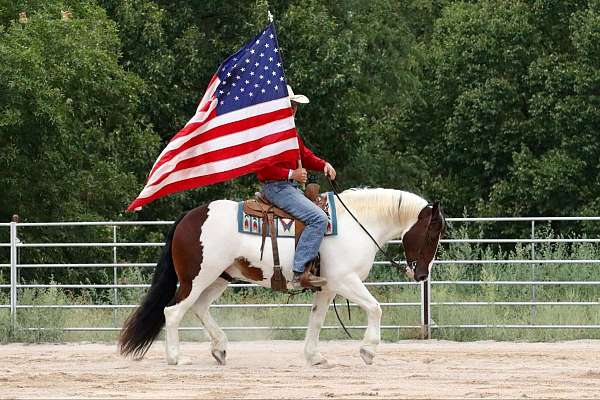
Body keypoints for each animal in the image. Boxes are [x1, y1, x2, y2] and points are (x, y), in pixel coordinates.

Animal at [118, 189, 446, 368]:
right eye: (432, 234)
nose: (421, 274)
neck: (357, 224)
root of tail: (189, 217)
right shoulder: (345, 281)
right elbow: (375, 308)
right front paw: (367, 350)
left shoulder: (327, 288)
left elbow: (316, 321)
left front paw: (314, 357)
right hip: (196, 278)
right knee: (173, 312)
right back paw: (176, 357)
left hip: (220, 277)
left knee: (199, 308)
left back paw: (220, 348)